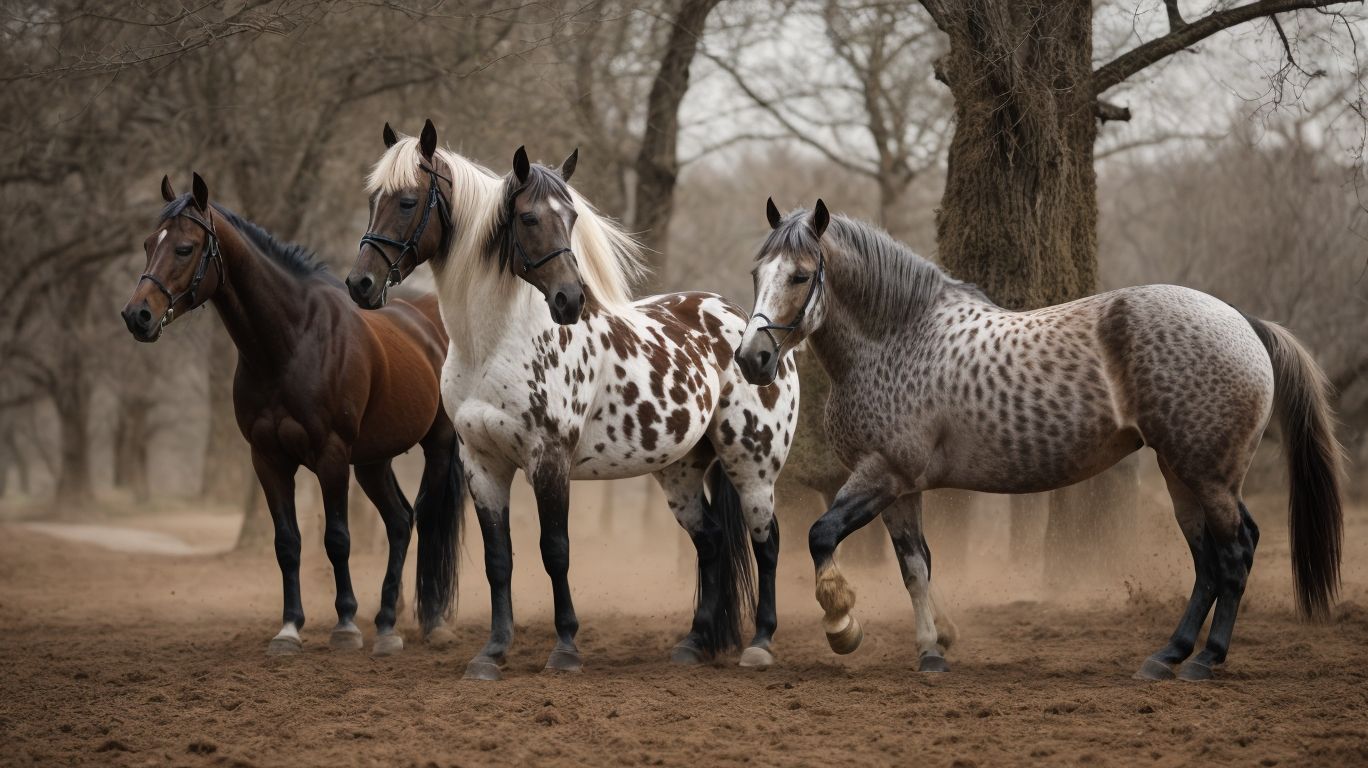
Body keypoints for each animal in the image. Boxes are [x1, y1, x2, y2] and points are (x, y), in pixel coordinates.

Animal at [120, 173, 464, 658]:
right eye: (150, 243)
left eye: (185, 248)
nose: (138, 315)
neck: (291, 341)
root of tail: (432, 325)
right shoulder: (268, 459)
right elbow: (288, 543)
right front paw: (289, 629)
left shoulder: (331, 456)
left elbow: (337, 539)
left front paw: (345, 626)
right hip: (373, 460)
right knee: (400, 521)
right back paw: (386, 625)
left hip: (436, 445)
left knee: (429, 519)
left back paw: (431, 624)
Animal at [345, 121, 799, 680]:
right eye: (376, 198)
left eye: (409, 201)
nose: (361, 284)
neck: (493, 343)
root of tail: (752, 330)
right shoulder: (482, 464)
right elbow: (500, 559)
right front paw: (491, 653)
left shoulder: (549, 461)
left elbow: (554, 551)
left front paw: (564, 649)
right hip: (682, 472)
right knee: (712, 541)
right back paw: (694, 644)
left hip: (752, 466)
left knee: (767, 543)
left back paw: (760, 644)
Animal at [734, 199, 1344, 680]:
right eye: (757, 272)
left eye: (801, 275)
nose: (751, 358)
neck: (896, 338)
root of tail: (1243, 323)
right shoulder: (900, 487)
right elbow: (916, 566)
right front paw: (934, 646)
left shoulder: (882, 474)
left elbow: (821, 535)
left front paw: (843, 625)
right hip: (1185, 476)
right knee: (1211, 562)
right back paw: (1167, 656)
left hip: (1207, 477)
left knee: (1233, 556)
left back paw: (1203, 660)